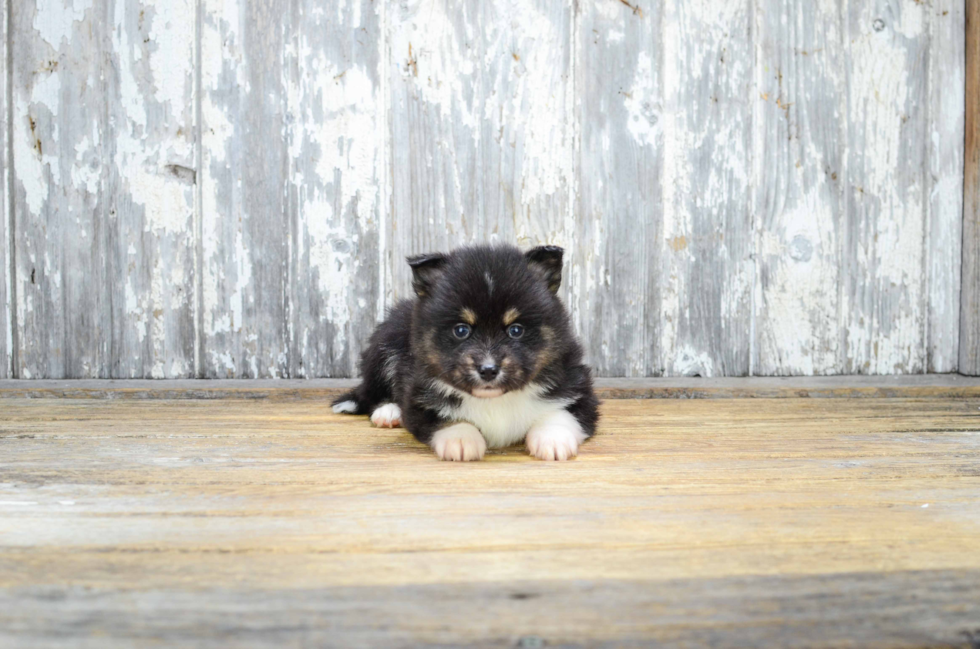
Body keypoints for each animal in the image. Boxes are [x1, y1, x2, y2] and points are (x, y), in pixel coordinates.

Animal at [334, 243, 600, 460]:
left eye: (516, 330)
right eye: (461, 330)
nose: (488, 370)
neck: (495, 400)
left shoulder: (577, 387)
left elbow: (562, 413)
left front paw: (552, 439)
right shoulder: (419, 396)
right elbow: (446, 418)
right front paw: (461, 439)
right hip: (384, 342)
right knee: (371, 393)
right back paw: (388, 412)